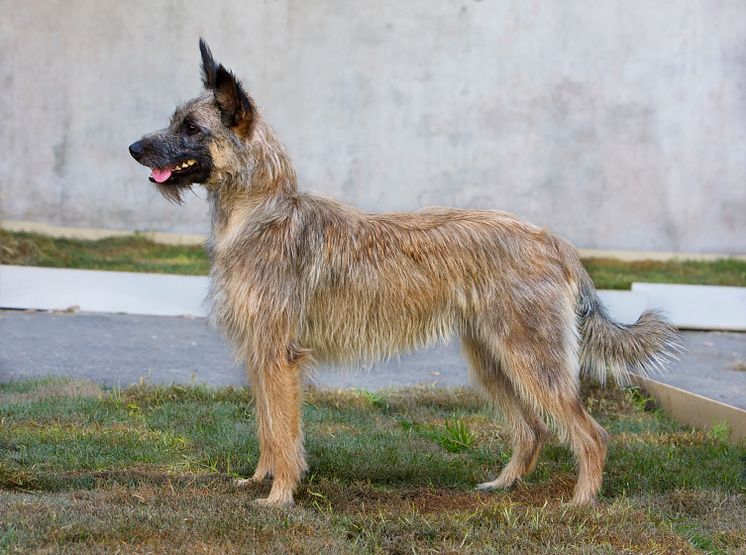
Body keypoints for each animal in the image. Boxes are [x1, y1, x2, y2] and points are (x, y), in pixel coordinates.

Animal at [131, 40, 676, 508]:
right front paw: (259, 480)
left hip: (531, 360)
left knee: (591, 434)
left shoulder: (279, 356)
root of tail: (552, 240)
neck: (261, 212)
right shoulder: (259, 354)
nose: (134, 148)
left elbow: (284, 435)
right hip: (493, 362)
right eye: (174, 121)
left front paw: (280, 497)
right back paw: (502, 485)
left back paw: (582, 502)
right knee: (534, 430)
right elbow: (268, 429)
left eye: (192, 128)